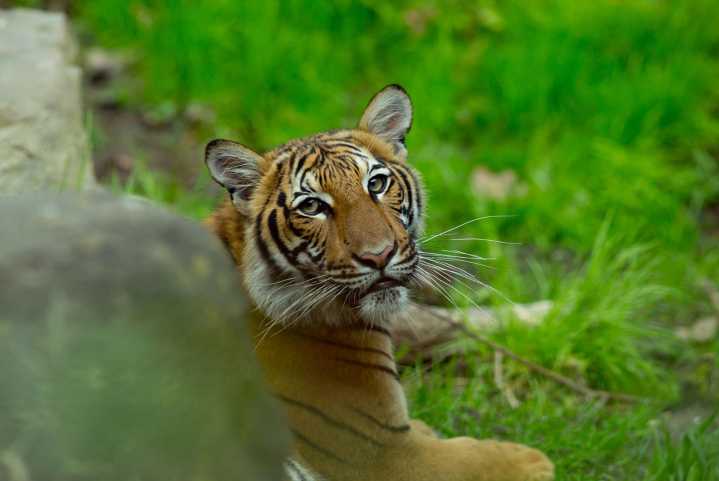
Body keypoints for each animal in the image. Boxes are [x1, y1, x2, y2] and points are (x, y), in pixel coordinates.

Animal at [204, 84, 555, 481]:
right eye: (311, 206)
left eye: (376, 183)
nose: (379, 255)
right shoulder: (382, 450)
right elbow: (474, 458)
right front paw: (534, 461)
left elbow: (444, 321)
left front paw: (548, 316)